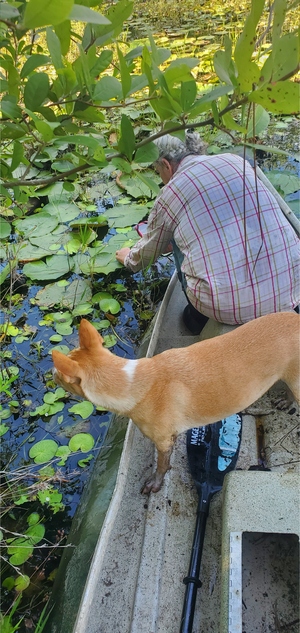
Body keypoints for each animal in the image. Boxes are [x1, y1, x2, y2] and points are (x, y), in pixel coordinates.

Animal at [52, 312, 298, 494]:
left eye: (58, 374)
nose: (50, 375)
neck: (132, 381)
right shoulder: (171, 437)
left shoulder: (162, 442)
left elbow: (161, 466)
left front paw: (155, 483)